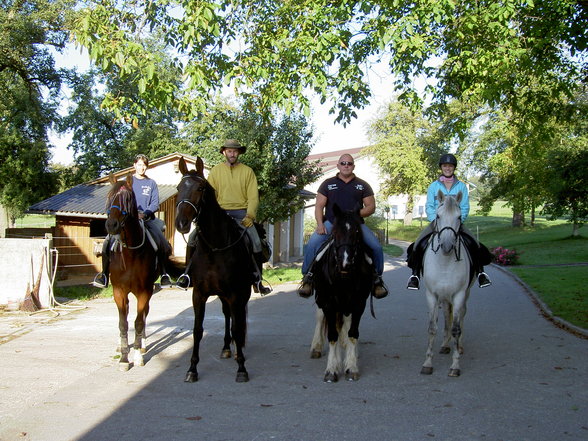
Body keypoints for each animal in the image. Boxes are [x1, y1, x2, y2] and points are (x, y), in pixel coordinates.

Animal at [104, 174, 157, 370]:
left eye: (127, 199)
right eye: (109, 197)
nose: (111, 225)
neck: (130, 253)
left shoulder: (144, 292)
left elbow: (139, 322)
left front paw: (137, 356)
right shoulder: (118, 291)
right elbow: (123, 323)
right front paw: (124, 358)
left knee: (144, 314)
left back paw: (141, 345)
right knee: (126, 313)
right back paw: (121, 346)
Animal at [308, 205, 372, 380]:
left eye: (356, 232)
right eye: (335, 232)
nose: (345, 263)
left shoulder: (359, 303)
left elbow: (352, 333)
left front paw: (351, 366)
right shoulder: (329, 303)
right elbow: (332, 335)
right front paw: (331, 370)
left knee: (345, 323)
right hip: (321, 299)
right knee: (320, 318)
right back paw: (316, 347)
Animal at [420, 191, 476, 376]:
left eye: (459, 217)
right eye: (438, 216)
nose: (446, 245)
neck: (444, 261)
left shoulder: (459, 295)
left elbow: (456, 328)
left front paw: (455, 365)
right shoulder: (432, 295)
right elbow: (432, 328)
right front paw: (427, 363)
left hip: (465, 294)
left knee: (462, 316)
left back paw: (459, 346)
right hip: (444, 297)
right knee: (446, 315)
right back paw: (445, 345)